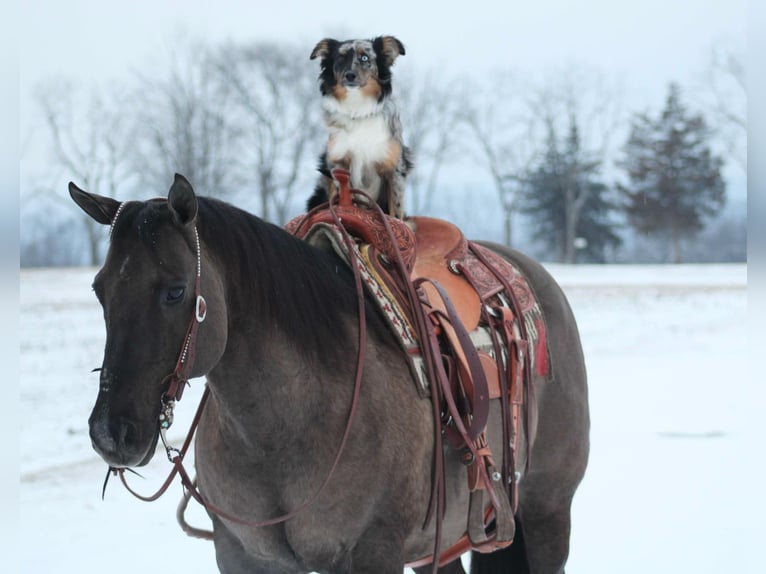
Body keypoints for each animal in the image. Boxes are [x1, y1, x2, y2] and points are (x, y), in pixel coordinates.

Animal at [70, 177, 588, 574]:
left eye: (176, 291)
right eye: (98, 289)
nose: (110, 432)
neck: (284, 425)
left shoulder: (374, 553)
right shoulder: (243, 556)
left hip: (547, 509)